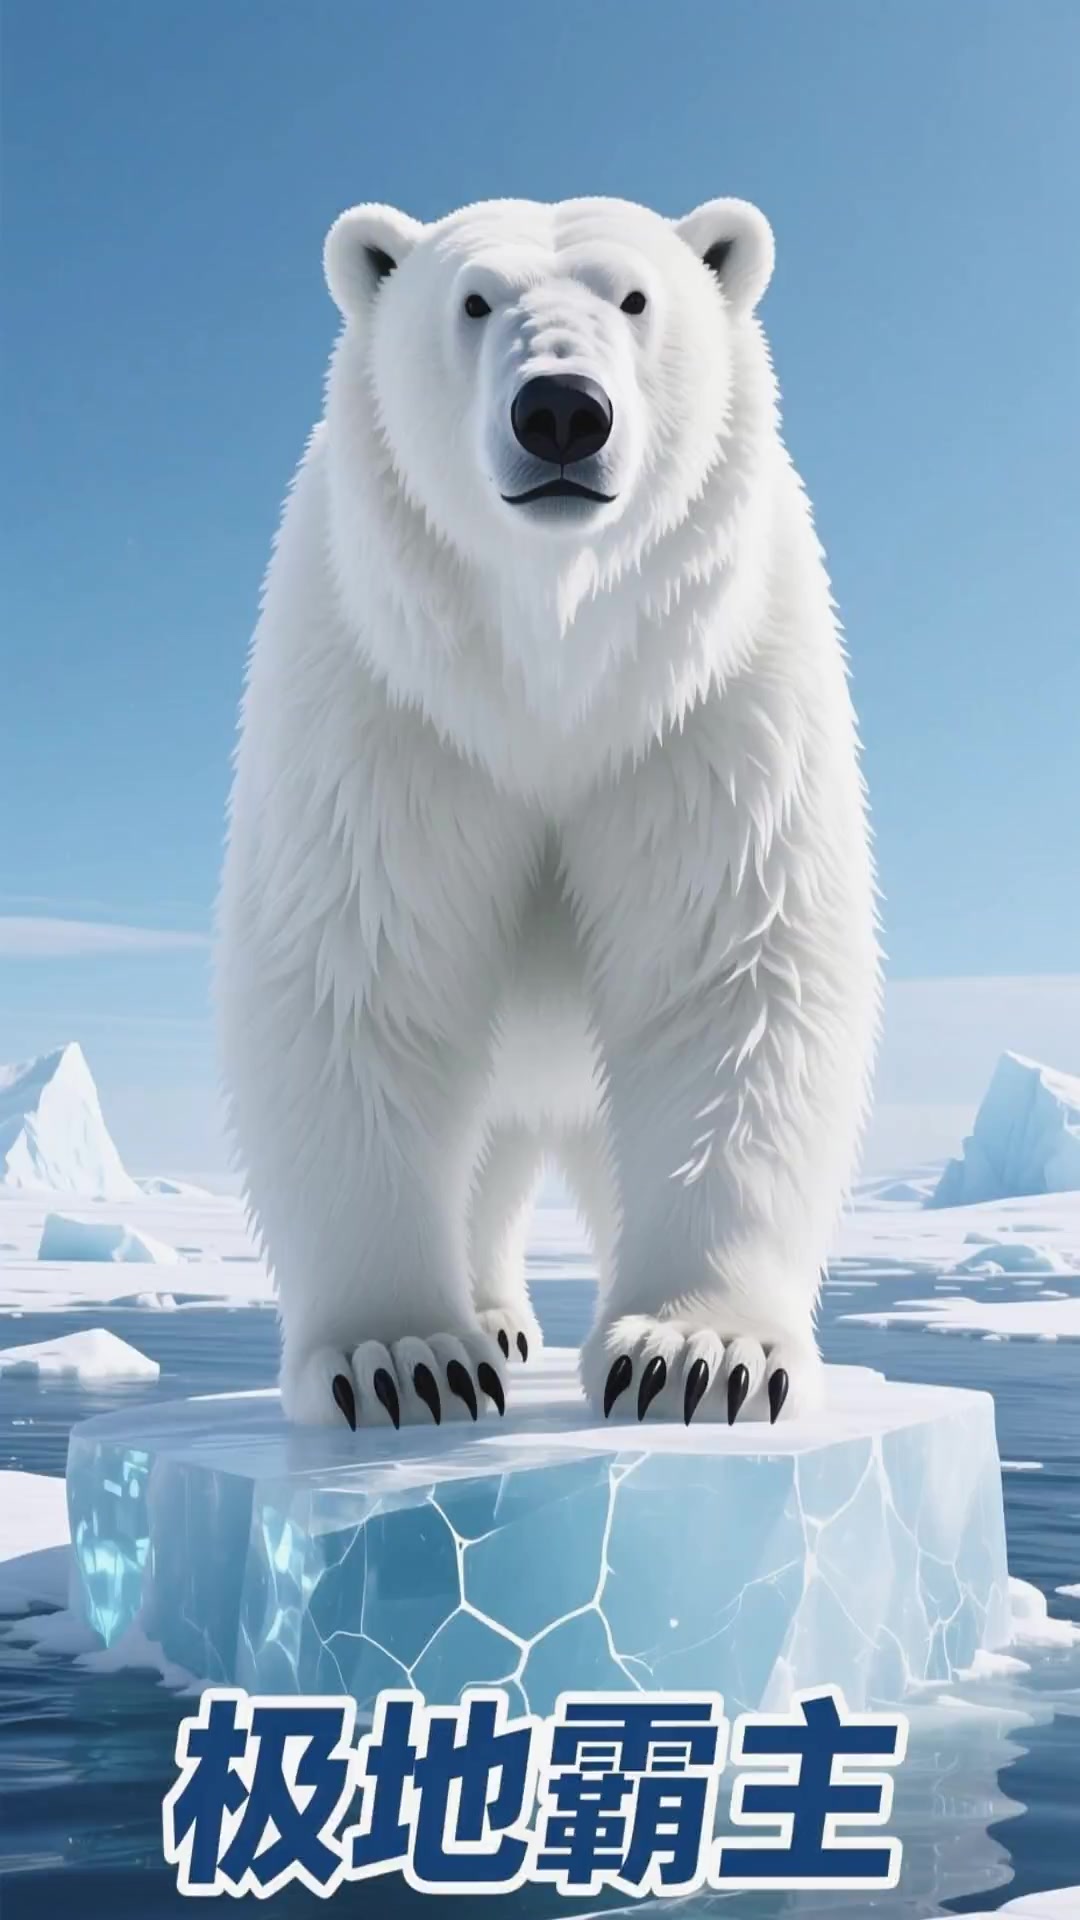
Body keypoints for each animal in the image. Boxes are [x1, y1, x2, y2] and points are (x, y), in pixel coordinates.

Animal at [216, 194, 880, 1433]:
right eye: (475, 300)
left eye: (636, 297)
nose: (562, 410)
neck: (551, 677)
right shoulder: (385, 704)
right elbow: (361, 970)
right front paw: (399, 1359)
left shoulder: (707, 701)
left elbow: (729, 972)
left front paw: (699, 1355)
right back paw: (490, 1321)